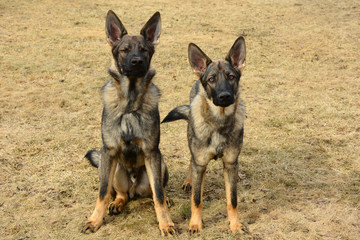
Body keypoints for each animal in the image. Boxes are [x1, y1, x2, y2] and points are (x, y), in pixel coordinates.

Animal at [82, 10, 176, 235]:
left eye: (144, 50)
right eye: (125, 50)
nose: (136, 62)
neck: (130, 104)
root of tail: (134, 188)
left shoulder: (152, 152)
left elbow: (158, 194)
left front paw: (166, 223)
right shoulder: (109, 151)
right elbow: (102, 192)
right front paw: (95, 220)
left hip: (160, 165)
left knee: (155, 192)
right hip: (112, 167)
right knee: (120, 194)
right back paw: (117, 203)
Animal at [162, 36, 248, 233]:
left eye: (231, 77)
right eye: (211, 79)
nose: (225, 96)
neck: (218, 123)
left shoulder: (230, 164)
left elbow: (232, 200)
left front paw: (235, 225)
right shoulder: (200, 163)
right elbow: (196, 199)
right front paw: (195, 224)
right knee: (192, 162)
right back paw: (189, 181)